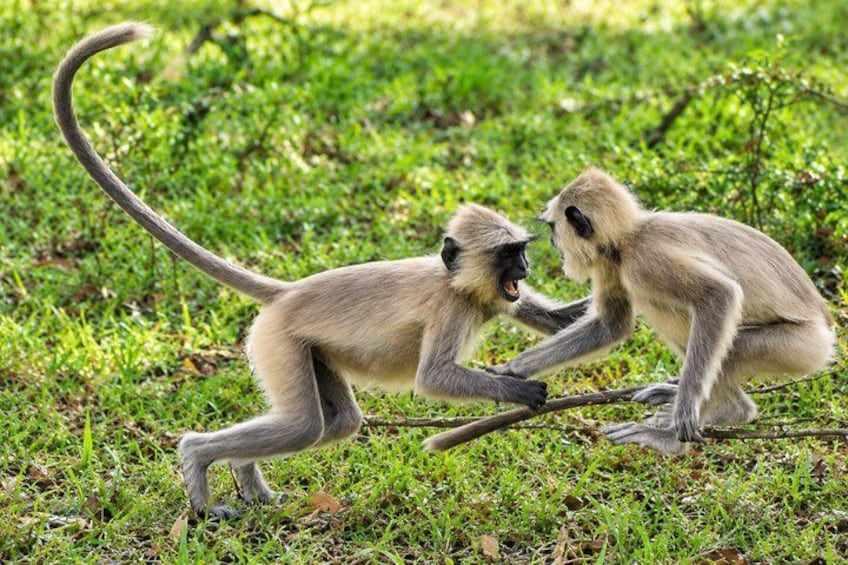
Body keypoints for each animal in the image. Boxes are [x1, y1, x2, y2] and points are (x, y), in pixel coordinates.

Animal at [53, 23, 591, 518]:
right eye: (508, 255)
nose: (524, 266)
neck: (455, 282)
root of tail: (287, 293)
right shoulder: (449, 308)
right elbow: (433, 378)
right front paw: (519, 389)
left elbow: (554, 320)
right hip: (278, 342)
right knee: (306, 426)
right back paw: (198, 467)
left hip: (310, 351)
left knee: (336, 423)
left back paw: (247, 478)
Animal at [482, 168, 835, 455]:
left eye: (555, 230)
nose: (556, 247)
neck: (631, 236)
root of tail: (827, 326)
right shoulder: (613, 262)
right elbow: (610, 326)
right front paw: (513, 370)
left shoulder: (642, 261)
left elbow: (720, 295)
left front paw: (686, 412)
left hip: (797, 347)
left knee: (720, 336)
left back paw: (698, 424)